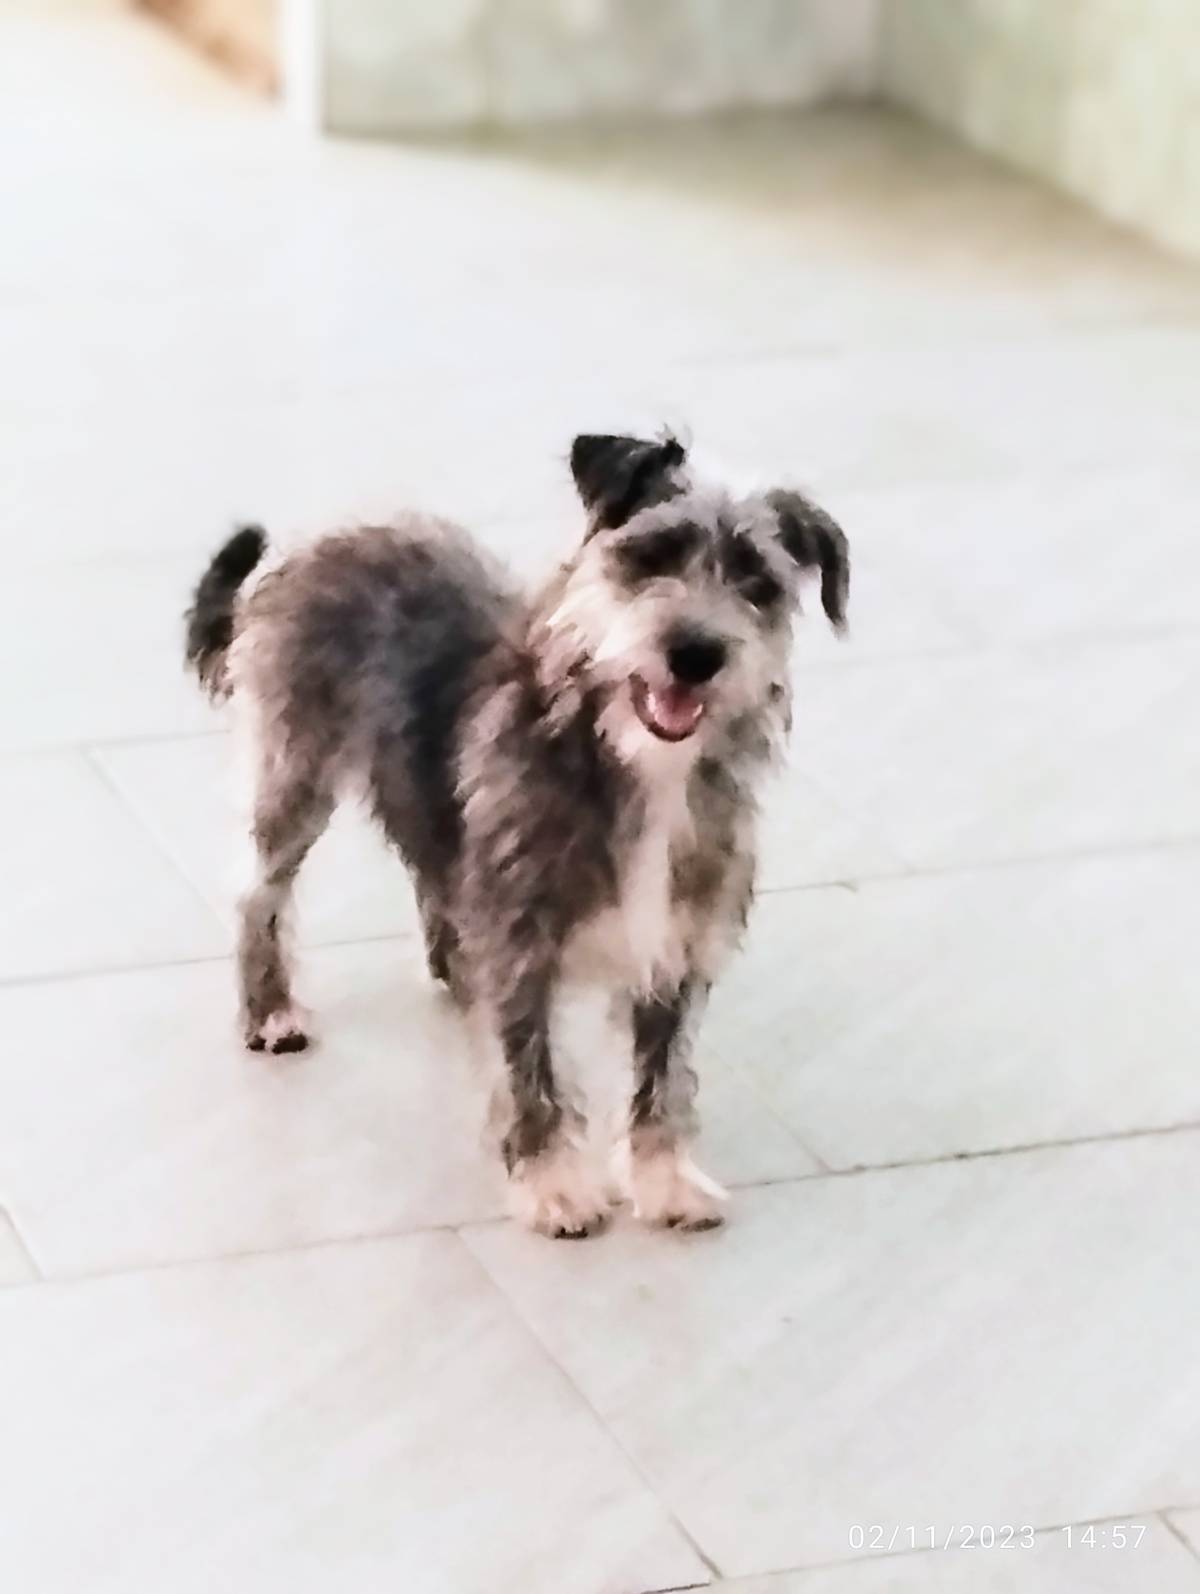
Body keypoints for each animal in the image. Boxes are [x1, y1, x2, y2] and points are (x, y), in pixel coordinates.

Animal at [185, 432, 849, 1237]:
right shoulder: (521, 941)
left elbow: (662, 1074)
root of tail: (319, 539)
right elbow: (531, 1067)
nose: (696, 654)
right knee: (260, 889)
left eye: (758, 582)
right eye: (653, 554)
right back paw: (271, 1010)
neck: (628, 757)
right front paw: (553, 1184)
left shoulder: (677, 941)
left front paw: (663, 1179)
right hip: (295, 770)